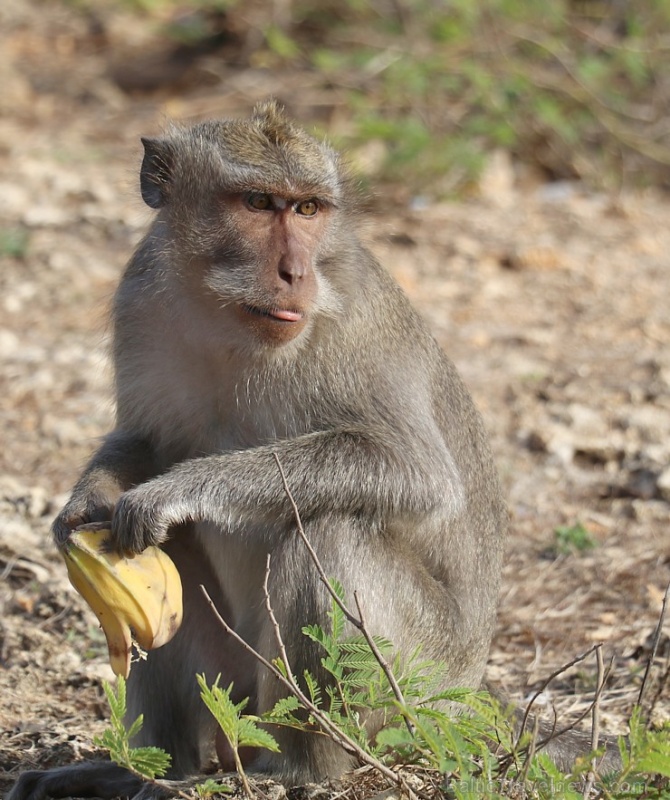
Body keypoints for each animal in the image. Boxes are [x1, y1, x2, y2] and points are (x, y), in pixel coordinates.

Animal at [6, 104, 616, 800]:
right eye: (257, 202)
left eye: (307, 210)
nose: (295, 272)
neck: (228, 316)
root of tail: (469, 689)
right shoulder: (140, 296)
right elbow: (141, 440)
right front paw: (85, 508)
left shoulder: (351, 320)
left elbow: (415, 472)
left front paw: (174, 491)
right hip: (237, 694)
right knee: (168, 559)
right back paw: (154, 771)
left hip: (410, 687)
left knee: (329, 532)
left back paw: (300, 768)